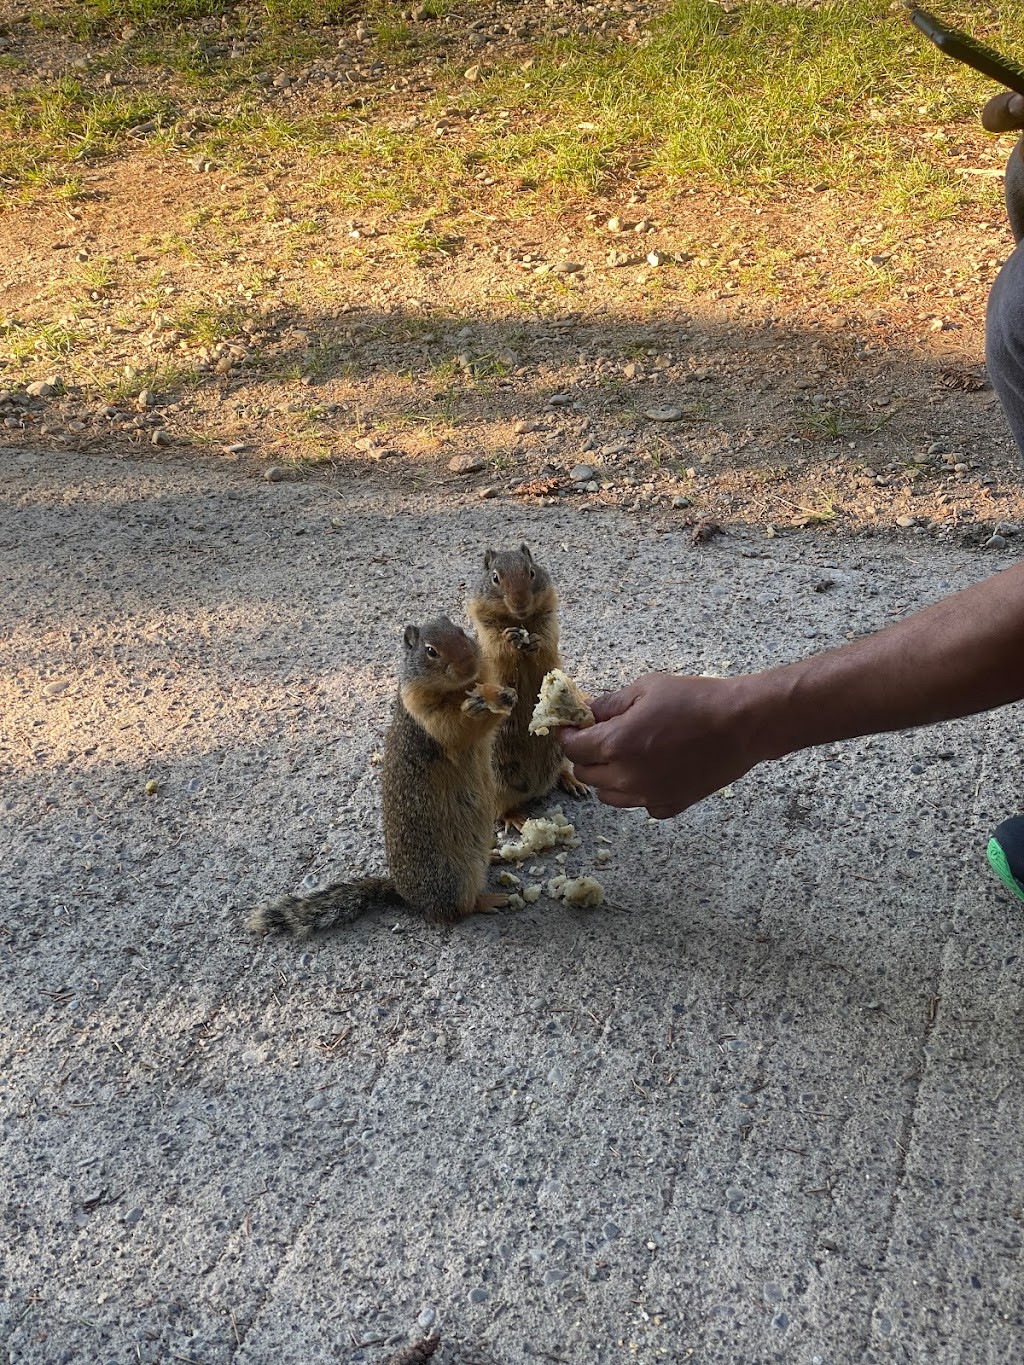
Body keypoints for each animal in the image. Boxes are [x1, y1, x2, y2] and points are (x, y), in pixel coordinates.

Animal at [247, 619, 516, 939]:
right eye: (430, 651)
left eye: (461, 632)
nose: (468, 665)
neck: (458, 690)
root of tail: (404, 895)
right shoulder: (424, 713)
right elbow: (456, 731)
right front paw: (476, 707)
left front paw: (507, 686)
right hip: (457, 876)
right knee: (457, 909)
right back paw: (489, 900)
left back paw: (495, 854)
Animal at [469, 540, 589, 819]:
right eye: (495, 578)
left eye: (531, 572)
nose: (521, 602)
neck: (519, 620)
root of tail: (535, 789)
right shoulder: (486, 630)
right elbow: (498, 648)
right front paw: (510, 638)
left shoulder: (549, 621)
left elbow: (546, 643)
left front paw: (534, 642)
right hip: (497, 776)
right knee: (502, 806)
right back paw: (516, 818)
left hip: (560, 752)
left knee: (560, 770)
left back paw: (574, 782)